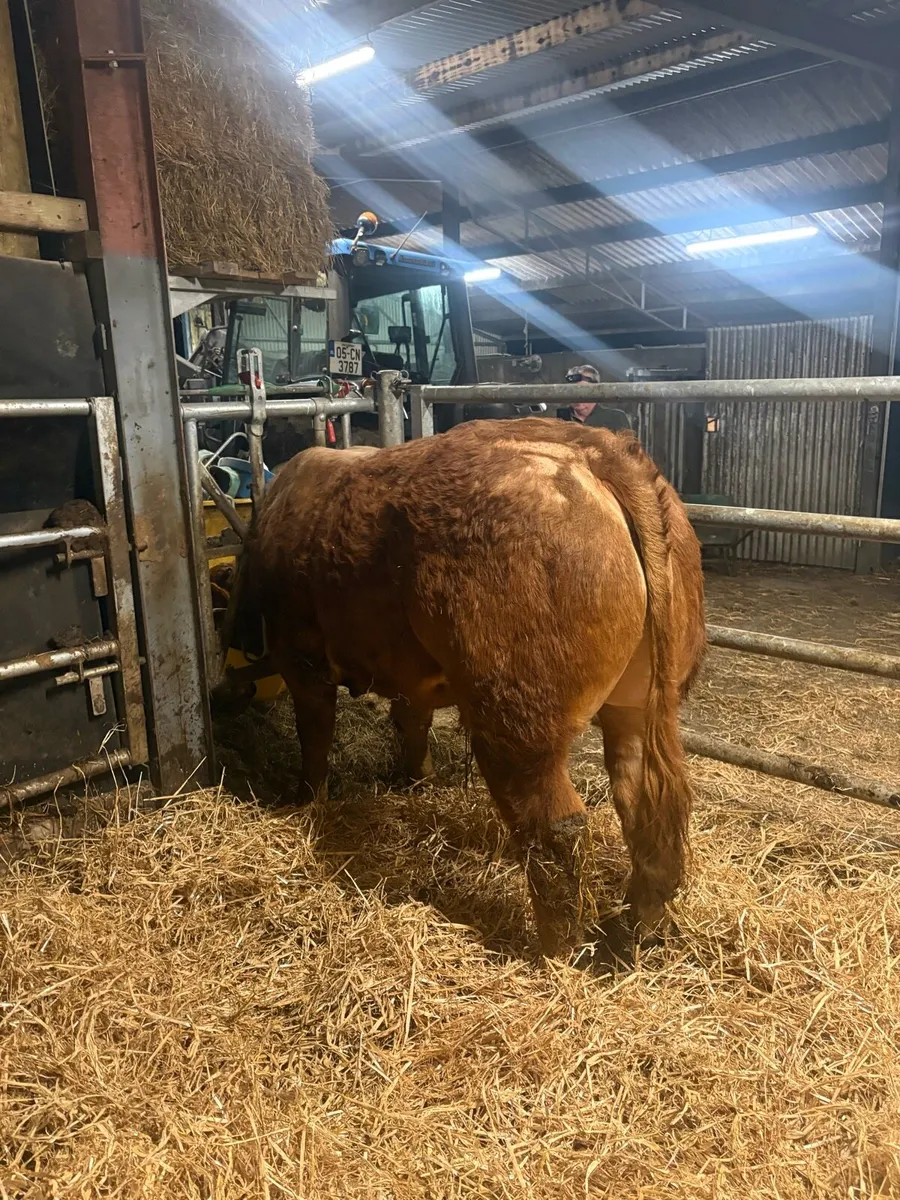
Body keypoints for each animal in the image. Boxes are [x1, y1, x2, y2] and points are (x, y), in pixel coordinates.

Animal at [248, 418, 706, 963]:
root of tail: (597, 451)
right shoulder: (407, 678)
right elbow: (412, 721)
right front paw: (414, 780)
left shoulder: (301, 659)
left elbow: (314, 735)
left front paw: (306, 800)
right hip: (637, 703)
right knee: (644, 806)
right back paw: (636, 933)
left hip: (517, 715)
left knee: (555, 825)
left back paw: (556, 951)